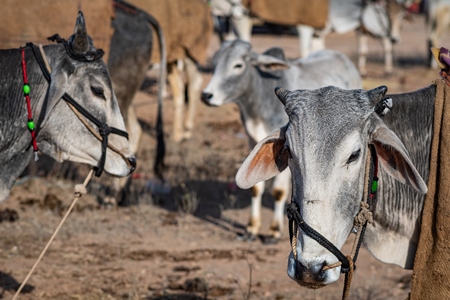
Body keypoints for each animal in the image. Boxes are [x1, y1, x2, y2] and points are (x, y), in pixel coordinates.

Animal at [200, 39, 362, 243]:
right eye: (215, 64)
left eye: (238, 65)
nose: (206, 95)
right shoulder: (252, 141)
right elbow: (255, 188)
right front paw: (251, 229)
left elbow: (278, 192)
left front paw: (274, 230)